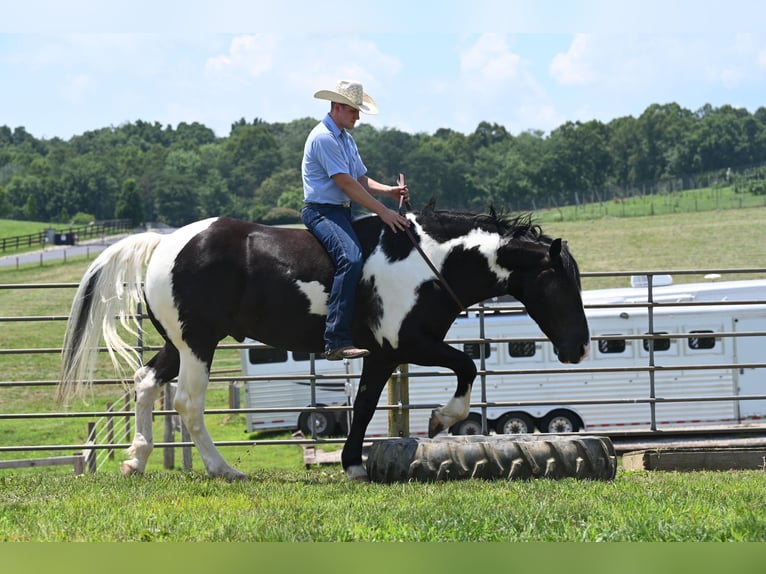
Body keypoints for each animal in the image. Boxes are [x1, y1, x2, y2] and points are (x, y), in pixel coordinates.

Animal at [58, 205, 592, 484]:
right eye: (562, 284)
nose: (580, 349)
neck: (430, 262)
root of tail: (162, 244)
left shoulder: (383, 355)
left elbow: (367, 404)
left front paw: (354, 462)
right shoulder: (406, 343)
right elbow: (465, 367)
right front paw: (441, 420)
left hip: (179, 343)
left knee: (146, 382)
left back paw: (137, 459)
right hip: (198, 344)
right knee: (188, 403)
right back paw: (223, 469)